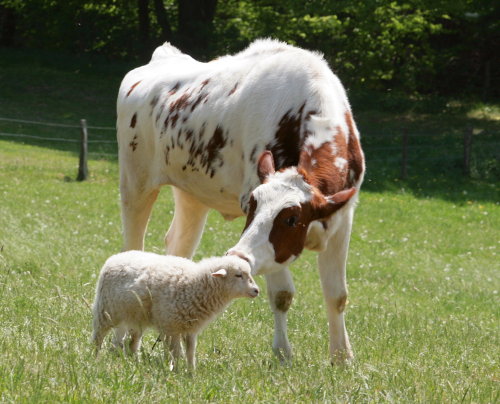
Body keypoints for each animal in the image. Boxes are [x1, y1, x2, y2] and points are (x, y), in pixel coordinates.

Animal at [91, 252, 260, 370]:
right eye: (238, 275)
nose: (256, 290)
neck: (195, 284)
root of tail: (115, 257)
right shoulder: (171, 327)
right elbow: (176, 352)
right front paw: (176, 371)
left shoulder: (190, 329)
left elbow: (190, 352)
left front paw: (191, 373)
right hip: (105, 311)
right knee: (98, 337)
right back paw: (94, 358)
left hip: (133, 317)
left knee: (129, 343)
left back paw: (133, 362)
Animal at [115, 39, 366, 362]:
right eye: (251, 206)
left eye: (292, 218)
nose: (238, 255)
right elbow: (282, 295)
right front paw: (283, 354)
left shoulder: (341, 220)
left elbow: (337, 295)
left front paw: (342, 358)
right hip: (136, 182)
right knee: (132, 247)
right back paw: (121, 339)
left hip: (192, 195)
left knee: (178, 246)